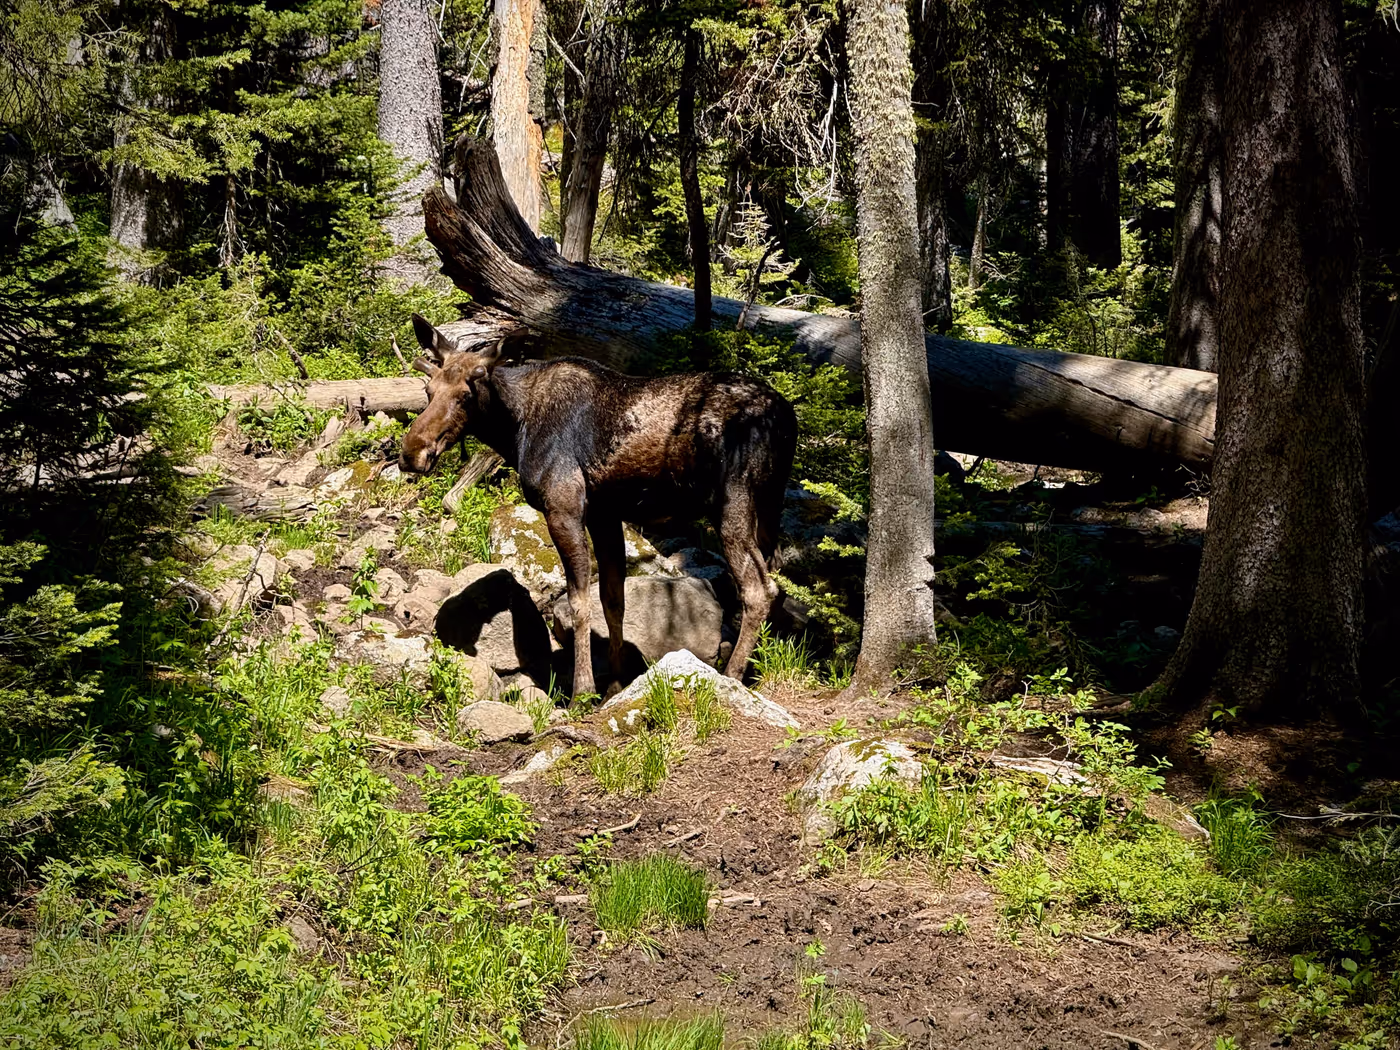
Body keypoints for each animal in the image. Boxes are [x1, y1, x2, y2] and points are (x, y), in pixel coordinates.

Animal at [398, 314, 798, 699]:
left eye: (467, 394)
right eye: (428, 390)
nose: (412, 453)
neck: (514, 430)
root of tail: (785, 419)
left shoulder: (564, 508)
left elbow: (579, 602)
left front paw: (583, 690)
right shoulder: (605, 515)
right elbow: (612, 598)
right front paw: (616, 682)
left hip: (733, 503)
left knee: (759, 589)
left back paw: (731, 673)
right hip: (770, 506)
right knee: (778, 576)